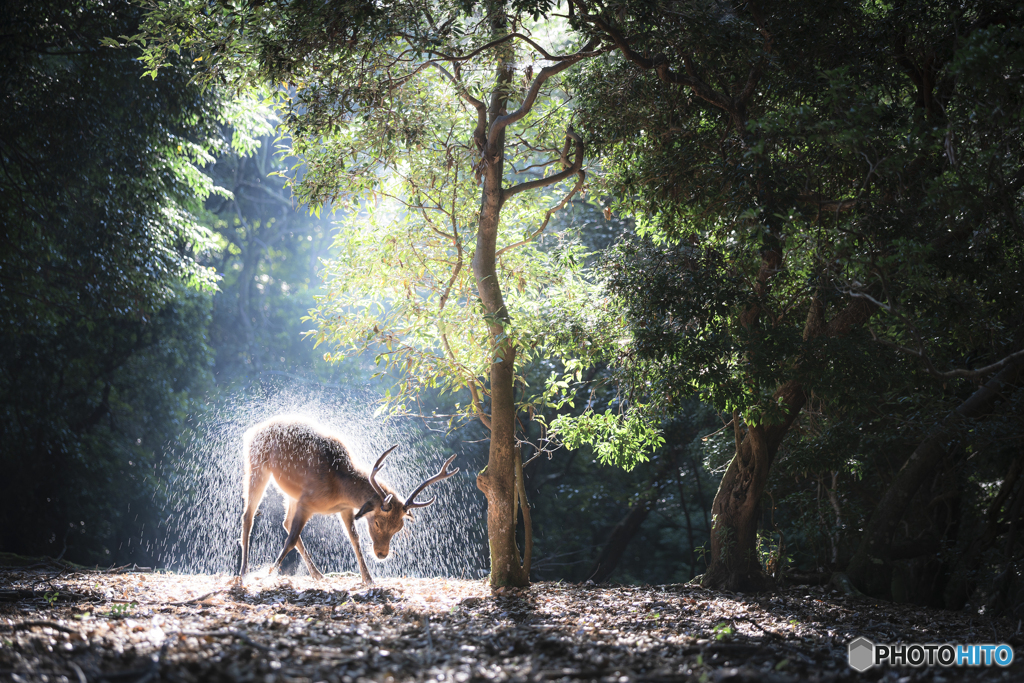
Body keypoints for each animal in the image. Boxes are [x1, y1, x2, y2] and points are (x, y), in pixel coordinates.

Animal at [237, 413, 458, 585]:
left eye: (399, 527)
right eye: (377, 523)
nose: (382, 554)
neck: (338, 488)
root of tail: (254, 429)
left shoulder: (345, 509)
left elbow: (355, 539)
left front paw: (368, 578)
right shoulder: (306, 502)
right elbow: (290, 539)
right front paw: (268, 575)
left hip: (290, 493)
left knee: (285, 522)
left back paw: (318, 574)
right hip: (256, 466)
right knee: (248, 516)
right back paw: (244, 571)